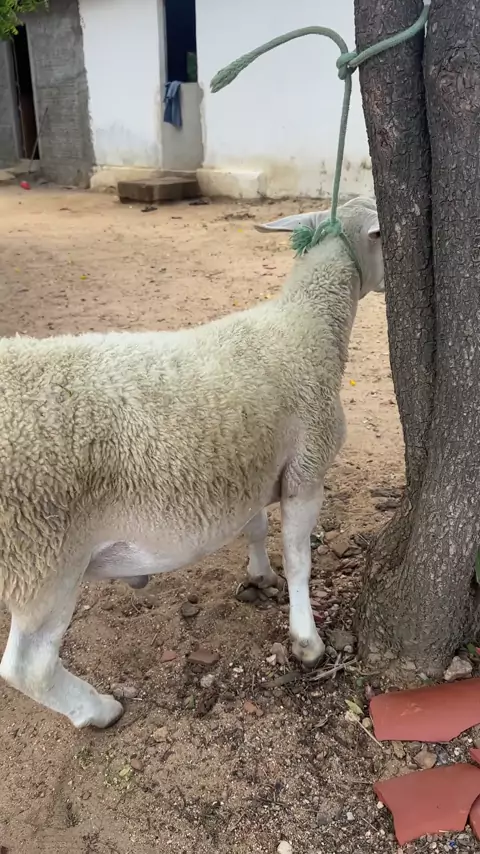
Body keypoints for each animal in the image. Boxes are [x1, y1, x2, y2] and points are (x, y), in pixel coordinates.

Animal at [0, 196, 384, 728]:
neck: (305, 325)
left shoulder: (254, 464)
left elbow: (256, 527)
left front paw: (260, 575)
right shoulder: (307, 469)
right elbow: (300, 559)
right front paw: (306, 642)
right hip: (42, 556)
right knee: (28, 668)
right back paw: (98, 710)